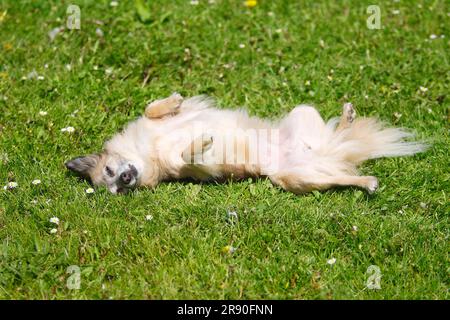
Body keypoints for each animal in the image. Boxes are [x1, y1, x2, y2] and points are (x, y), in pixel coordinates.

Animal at [64, 91, 426, 194]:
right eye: (115, 189)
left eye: (110, 171)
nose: (126, 180)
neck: (149, 154)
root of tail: (326, 154)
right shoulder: (198, 169)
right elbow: (189, 155)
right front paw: (201, 141)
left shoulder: (160, 123)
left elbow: (150, 109)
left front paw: (173, 101)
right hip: (296, 180)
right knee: (338, 178)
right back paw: (365, 182)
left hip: (303, 113)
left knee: (335, 134)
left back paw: (348, 118)